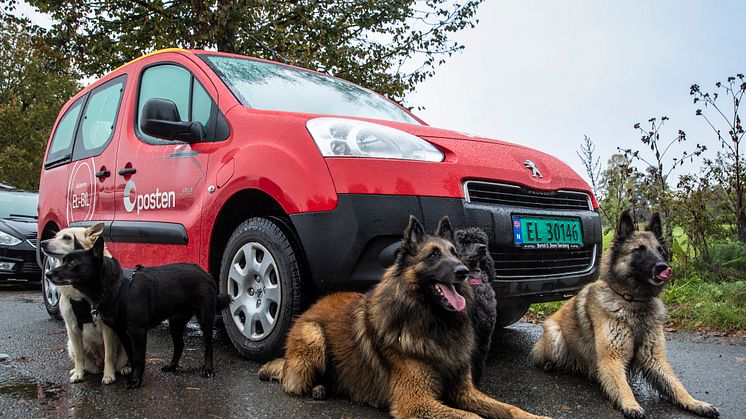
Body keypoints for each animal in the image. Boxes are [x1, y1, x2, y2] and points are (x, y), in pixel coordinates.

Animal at [47, 238, 227, 388]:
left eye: (73, 263)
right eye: (64, 260)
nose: (48, 274)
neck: (117, 286)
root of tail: (205, 273)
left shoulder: (138, 332)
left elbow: (139, 358)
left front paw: (136, 380)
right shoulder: (122, 333)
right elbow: (132, 356)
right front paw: (133, 375)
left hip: (205, 318)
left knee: (209, 346)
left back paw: (208, 369)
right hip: (176, 322)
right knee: (179, 345)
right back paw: (172, 366)